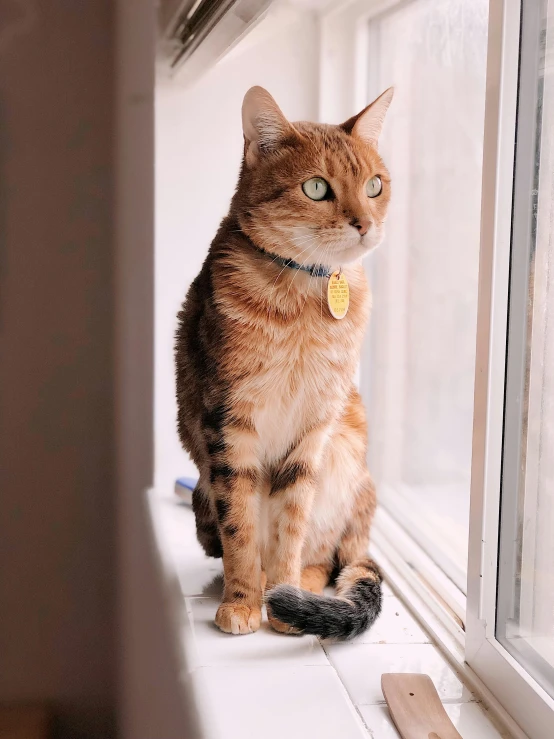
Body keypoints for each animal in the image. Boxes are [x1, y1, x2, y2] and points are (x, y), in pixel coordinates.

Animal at [175, 85, 390, 640]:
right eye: (316, 188)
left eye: (374, 185)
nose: (366, 224)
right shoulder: (230, 422)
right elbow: (241, 528)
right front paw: (243, 600)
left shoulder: (313, 428)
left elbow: (292, 524)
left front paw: (283, 595)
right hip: (201, 499)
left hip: (345, 461)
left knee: (329, 556)